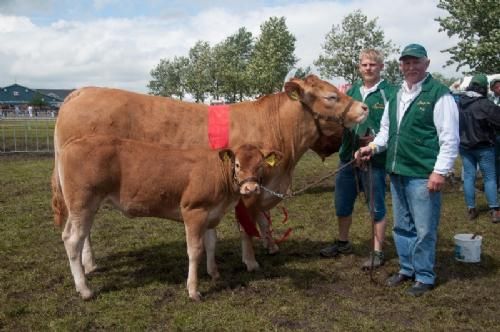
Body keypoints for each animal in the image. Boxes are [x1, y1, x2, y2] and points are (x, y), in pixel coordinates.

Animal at [53, 75, 368, 272]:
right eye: (331, 96)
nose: (364, 107)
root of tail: (78, 93)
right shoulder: (248, 191)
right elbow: (247, 227)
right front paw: (251, 262)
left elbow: (263, 221)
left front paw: (270, 247)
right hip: (83, 191)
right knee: (79, 230)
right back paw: (88, 266)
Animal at [54, 135, 284, 300]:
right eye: (237, 164)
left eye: (261, 165)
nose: (251, 188)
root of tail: (73, 143)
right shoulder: (193, 211)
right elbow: (195, 250)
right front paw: (193, 290)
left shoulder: (211, 213)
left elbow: (211, 244)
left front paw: (214, 273)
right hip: (83, 203)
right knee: (74, 240)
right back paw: (85, 289)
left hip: (79, 208)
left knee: (70, 236)